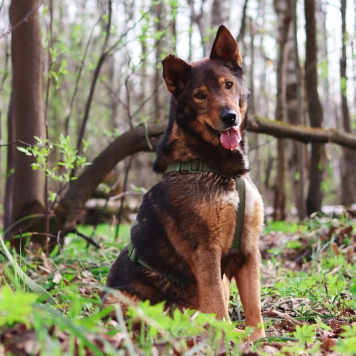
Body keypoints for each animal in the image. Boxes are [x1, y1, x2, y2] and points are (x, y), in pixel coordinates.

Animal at [102, 25, 264, 342]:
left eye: (228, 85)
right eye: (200, 95)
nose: (230, 117)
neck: (220, 170)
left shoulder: (249, 249)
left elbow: (254, 309)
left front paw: (259, 340)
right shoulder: (205, 251)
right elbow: (217, 304)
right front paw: (227, 339)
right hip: (126, 301)